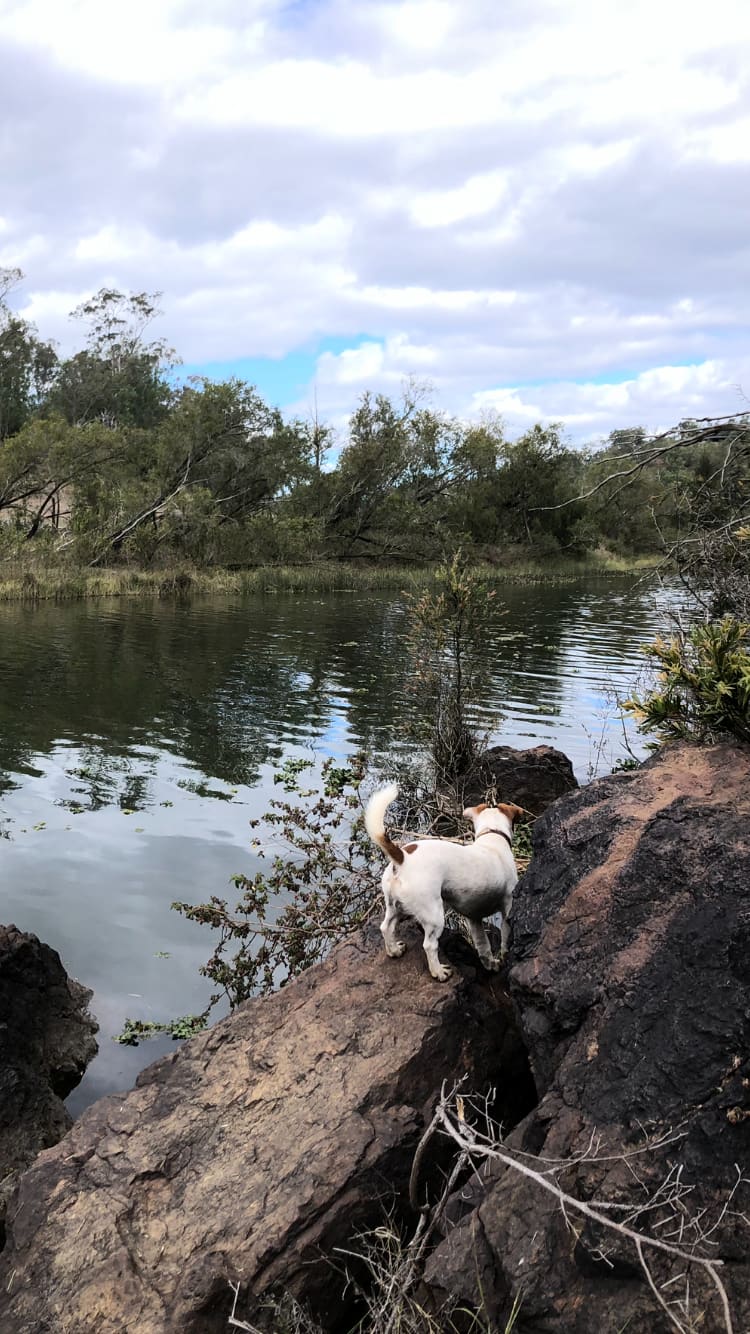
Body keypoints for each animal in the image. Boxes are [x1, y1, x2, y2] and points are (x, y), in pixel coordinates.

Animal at [362, 779, 520, 981]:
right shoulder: (507, 908)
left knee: (386, 927)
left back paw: (394, 950)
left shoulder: (474, 919)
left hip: (395, 906)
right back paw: (439, 971)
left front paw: (490, 964)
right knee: (429, 945)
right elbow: (505, 941)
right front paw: (504, 957)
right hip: (434, 915)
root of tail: (403, 857)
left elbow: (483, 946)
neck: (491, 836)